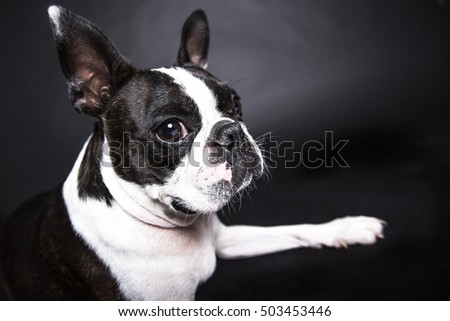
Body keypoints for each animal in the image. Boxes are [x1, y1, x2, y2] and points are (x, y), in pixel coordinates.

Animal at [0, 5, 386, 300]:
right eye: (171, 130)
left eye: (236, 105)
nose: (231, 132)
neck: (169, 225)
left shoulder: (224, 241)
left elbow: (292, 229)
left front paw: (347, 227)